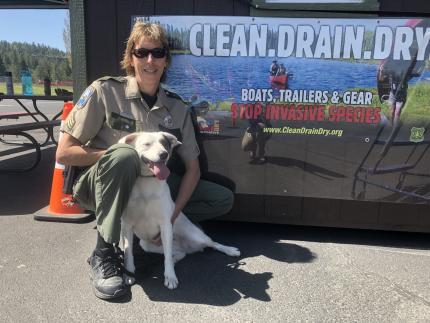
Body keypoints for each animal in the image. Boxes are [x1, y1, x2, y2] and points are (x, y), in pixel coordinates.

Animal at [119, 133, 240, 290]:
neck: (147, 182)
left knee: (212, 243)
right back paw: (176, 257)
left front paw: (170, 277)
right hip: (146, 245)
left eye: (164, 144)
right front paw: (128, 274)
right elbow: (128, 252)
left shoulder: (165, 225)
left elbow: (167, 260)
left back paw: (230, 250)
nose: (164, 154)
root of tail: (188, 246)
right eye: (147, 144)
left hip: (194, 235)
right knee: (178, 254)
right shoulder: (126, 225)